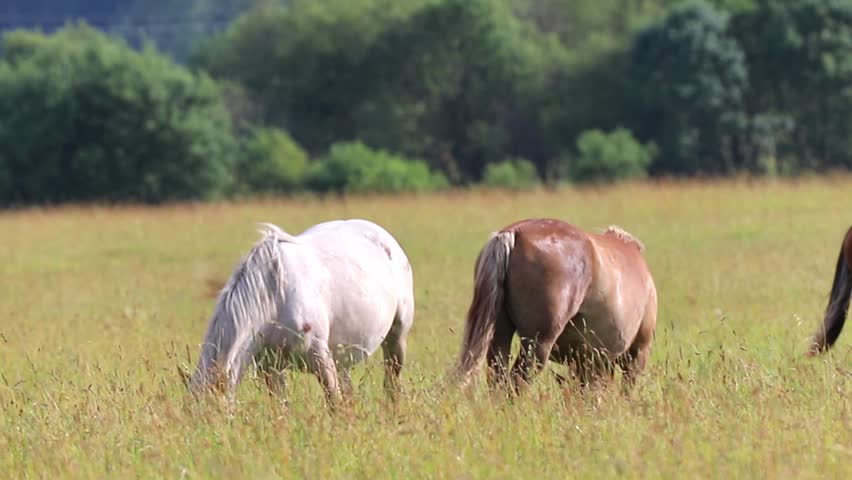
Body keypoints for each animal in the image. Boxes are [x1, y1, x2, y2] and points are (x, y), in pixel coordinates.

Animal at [189, 219, 415, 406]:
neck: (274, 294)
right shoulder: (269, 366)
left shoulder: (319, 355)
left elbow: (334, 403)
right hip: (344, 355)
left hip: (396, 339)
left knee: (392, 383)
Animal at [454, 219, 657, 393]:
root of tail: (512, 233)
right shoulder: (637, 352)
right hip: (538, 343)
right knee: (519, 379)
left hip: (501, 335)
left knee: (499, 378)